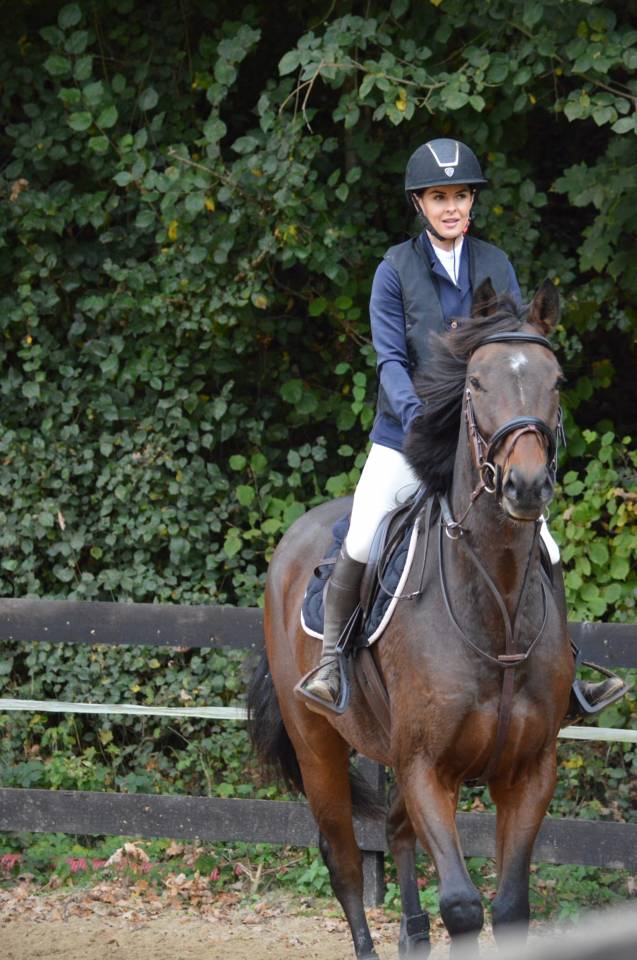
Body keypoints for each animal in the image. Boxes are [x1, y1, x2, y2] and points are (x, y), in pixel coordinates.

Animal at [247, 279, 574, 958]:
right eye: (474, 381)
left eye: (555, 380)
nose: (526, 485)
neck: (495, 603)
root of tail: (293, 538)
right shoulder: (427, 768)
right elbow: (464, 906)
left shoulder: (529, 771)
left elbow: (509, 907)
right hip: (317, 745)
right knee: (344, 859)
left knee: (396, 833)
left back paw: (413, 934)